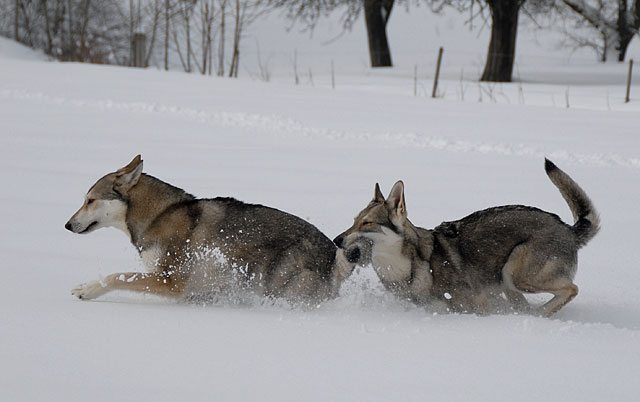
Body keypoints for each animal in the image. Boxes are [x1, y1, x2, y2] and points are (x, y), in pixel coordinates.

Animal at [65, 155, 355, 305]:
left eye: (90, 200)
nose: (67, 225)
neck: (160, 214)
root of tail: (333, 255)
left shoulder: (170, 281)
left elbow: (119, 276)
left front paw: (87, 289)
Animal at [334, 159, 600, 316]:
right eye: (354, 221)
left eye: (367, 223)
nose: (336, 240)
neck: (411, 268)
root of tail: (567, 228)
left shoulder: (478, 305)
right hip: (509, 283)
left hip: (516, 275)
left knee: (571, 289)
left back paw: (538, 315)